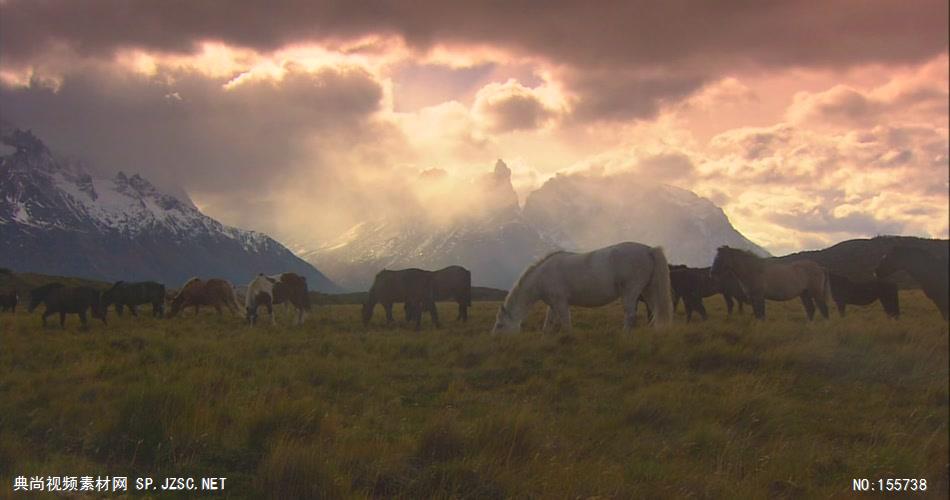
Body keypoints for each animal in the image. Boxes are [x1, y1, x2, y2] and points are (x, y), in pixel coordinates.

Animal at [494, 240, 672, 334]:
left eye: (500, 325)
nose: (495, 341)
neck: (542, 276)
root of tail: (648, 250)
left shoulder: (561, 303)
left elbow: (565, 322)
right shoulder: (553, 304)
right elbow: (548, 323)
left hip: (631, 292)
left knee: (630, 315)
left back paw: (625, 336)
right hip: (648, 291)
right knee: (655, 311)